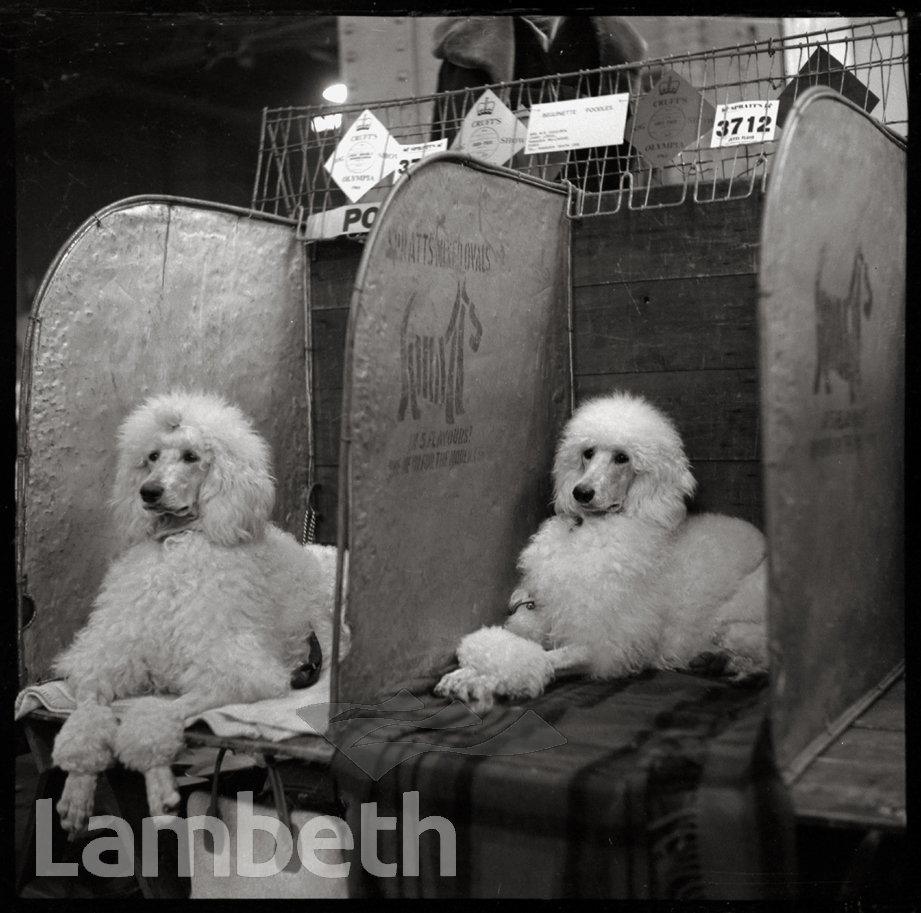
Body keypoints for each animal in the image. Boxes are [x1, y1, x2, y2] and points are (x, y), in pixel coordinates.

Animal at [52, 392, 338, 832]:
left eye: (191, 456)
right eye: (152, 456)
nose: (149, 492)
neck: (179, 542)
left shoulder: (235, 674)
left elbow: (159, 713)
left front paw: (158, 784)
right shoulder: (108, 659)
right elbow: (87, 712)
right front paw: (77, 788)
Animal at [434, 392, 764, 712]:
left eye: (622, 458)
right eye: (588, 452)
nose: (581, 493)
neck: (591, 528)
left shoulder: (605, 645)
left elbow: (544, 659)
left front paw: (480, 681)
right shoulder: (547, 616)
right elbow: (514, 645)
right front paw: (465, 672)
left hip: (734, 622)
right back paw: (716, 662)